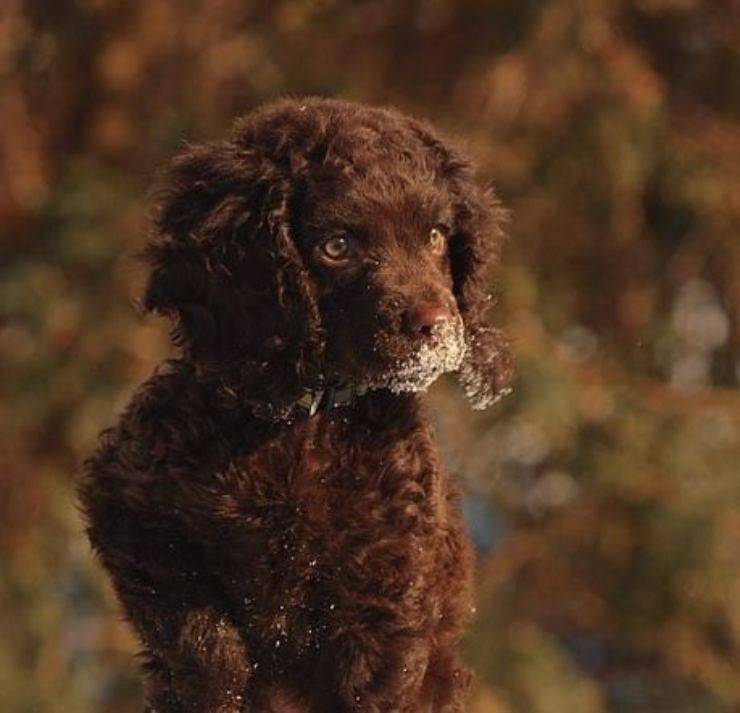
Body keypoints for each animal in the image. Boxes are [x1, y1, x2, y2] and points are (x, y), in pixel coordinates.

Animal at [78, 96, 512, 712]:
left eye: (435, 235)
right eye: (337, 247)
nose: (438, 327)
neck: (307, 417)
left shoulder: (389, 598)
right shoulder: (129, 509)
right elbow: (203, 640)